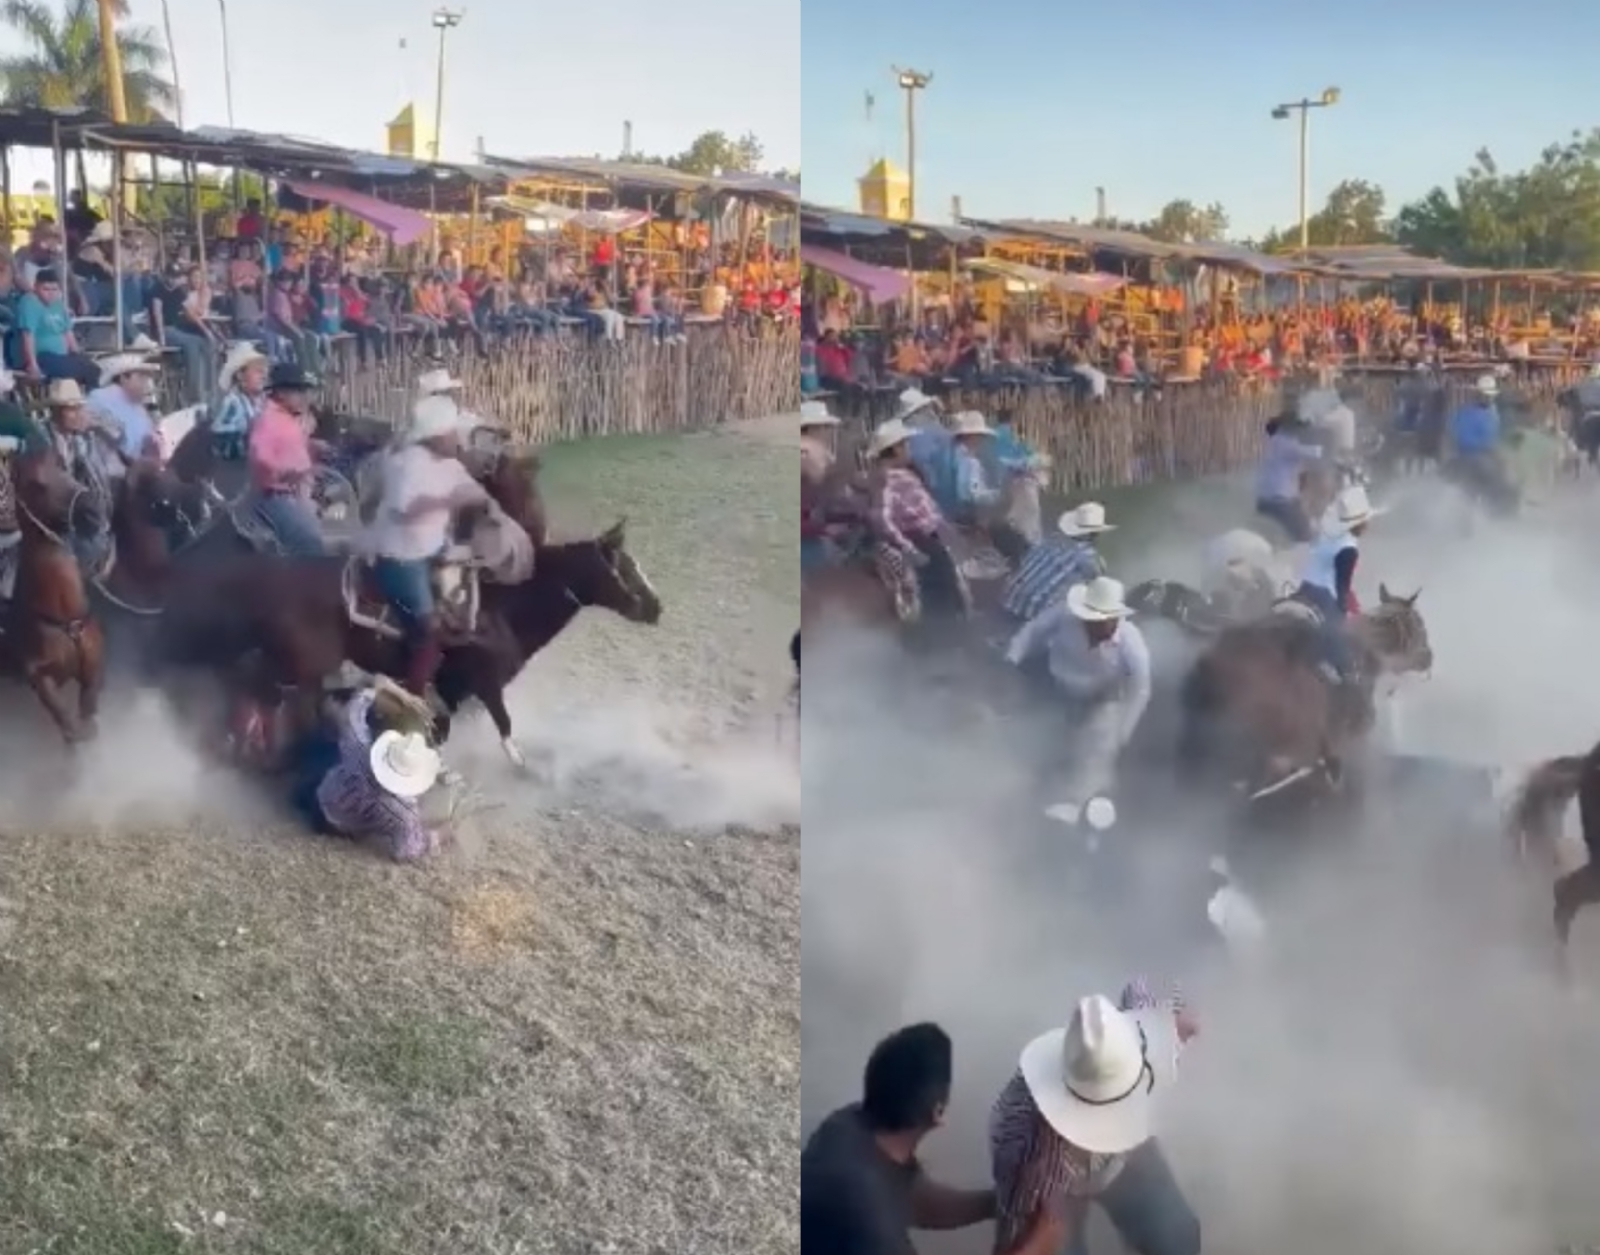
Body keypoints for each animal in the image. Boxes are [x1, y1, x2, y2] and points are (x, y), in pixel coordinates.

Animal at [4, 448, 111, 739]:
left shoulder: (92, 667)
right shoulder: (40, 677)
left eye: (65, 466)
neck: (65, 619)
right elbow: (68, 724)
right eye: (36, 484)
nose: (92, 510)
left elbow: (88, 714)